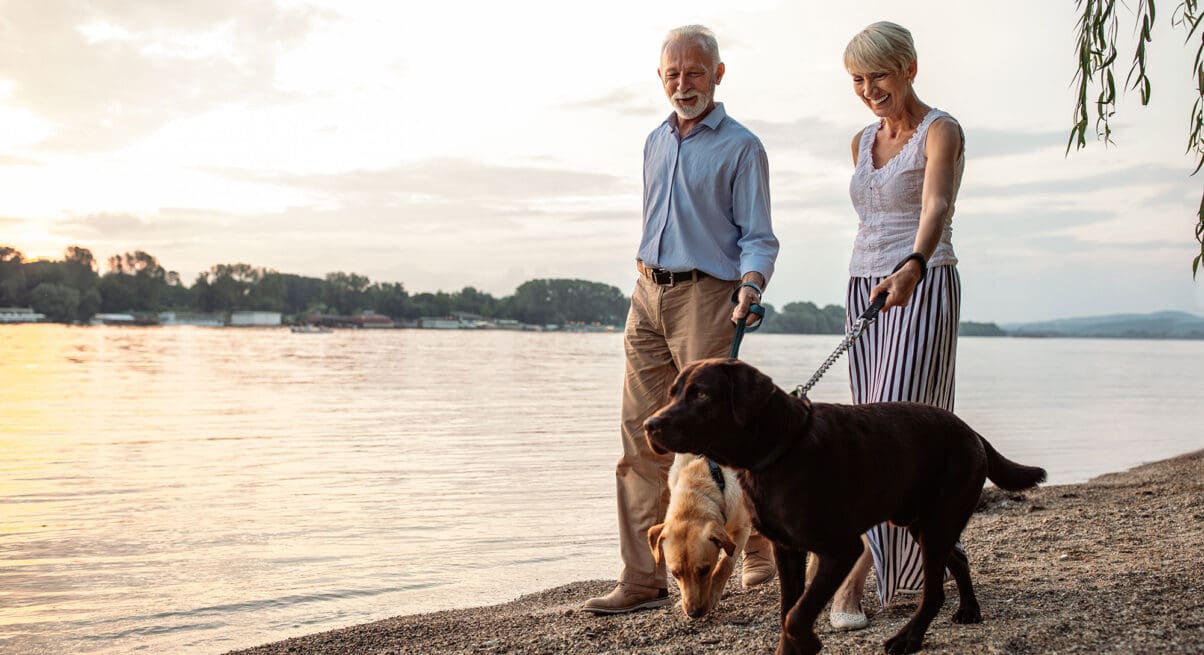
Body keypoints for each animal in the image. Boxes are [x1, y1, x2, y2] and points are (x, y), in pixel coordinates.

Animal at [654, 452, 746, 616]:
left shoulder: (741, 529)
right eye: (675, 574)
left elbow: (725, 564)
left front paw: (713, 595)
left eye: (705, 570)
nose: (693, 613)